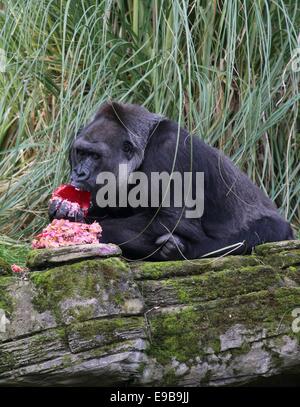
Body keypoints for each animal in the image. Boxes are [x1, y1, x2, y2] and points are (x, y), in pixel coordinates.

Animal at [48, 101, 292, 262]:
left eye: (95, 156)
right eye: (80, 153)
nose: (79, 173)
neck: (144, 146)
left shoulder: (169, 149)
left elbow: (172, 220)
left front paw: (79, 224)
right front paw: (64, 210)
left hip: (280, 231)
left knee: (264, 231)